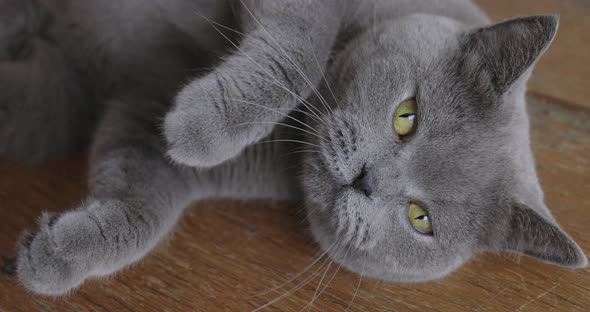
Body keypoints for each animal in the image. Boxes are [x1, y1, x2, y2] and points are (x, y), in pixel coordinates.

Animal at [2, 0, 588, 298]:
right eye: (407, 117)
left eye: (420, 219)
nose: (365, 179)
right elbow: (302, 52)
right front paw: (199, 126)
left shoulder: (142, 109)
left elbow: (143, 203)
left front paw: (54, 256)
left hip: (46, 105)